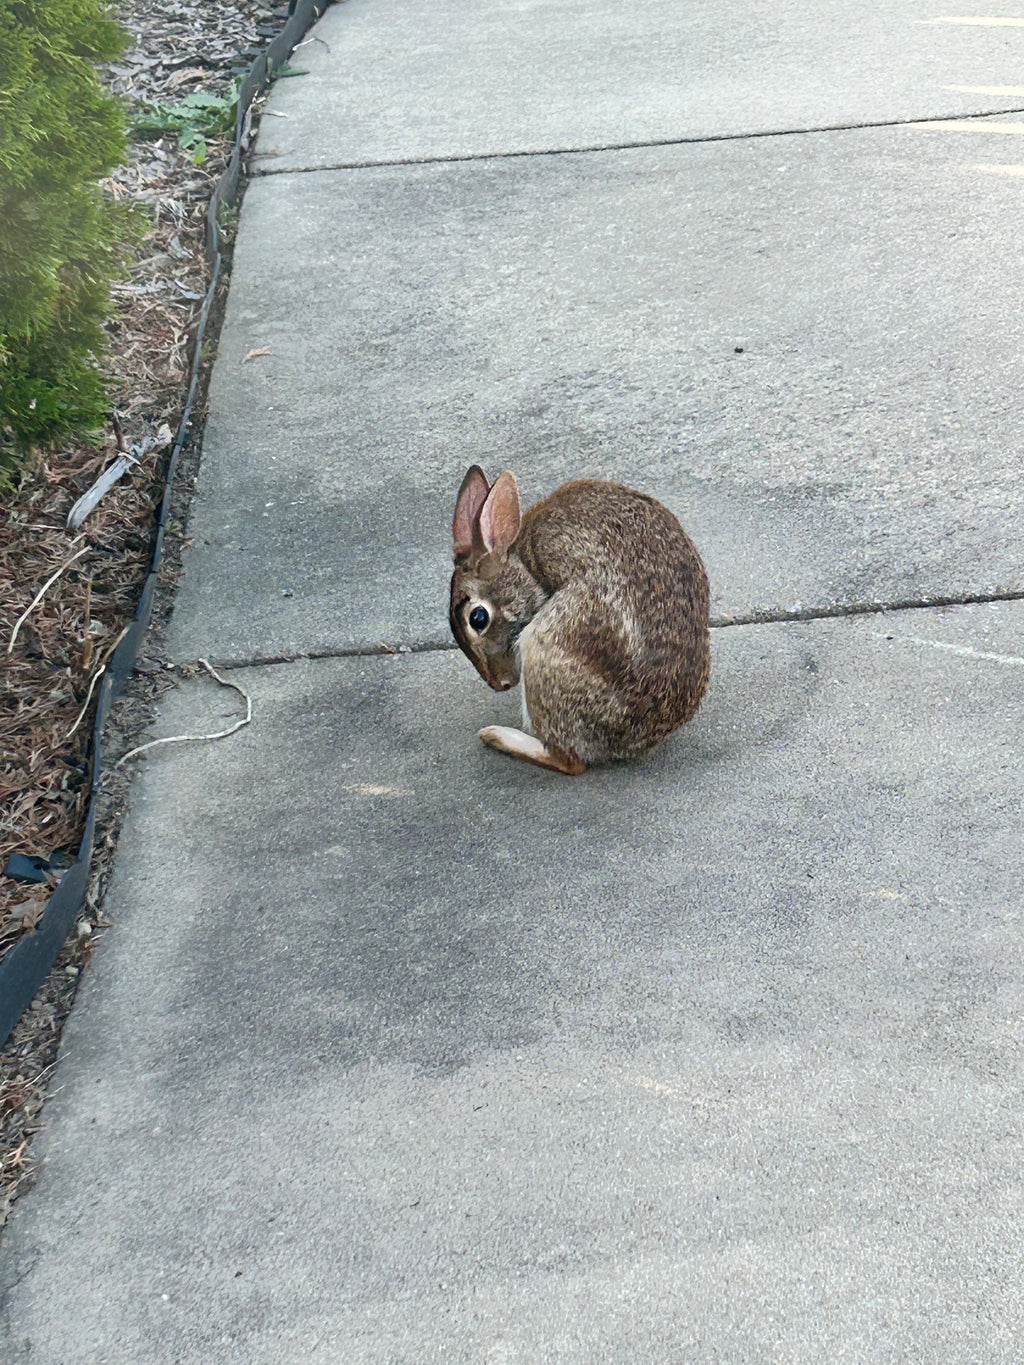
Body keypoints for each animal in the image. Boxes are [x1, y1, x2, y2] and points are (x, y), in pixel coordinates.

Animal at [449, 465, 710, 775]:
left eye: (478, 618)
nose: (500, 683)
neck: (524, 564)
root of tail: (629, 742)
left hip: (543, 644)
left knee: (570, 762)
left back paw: (498, 736)